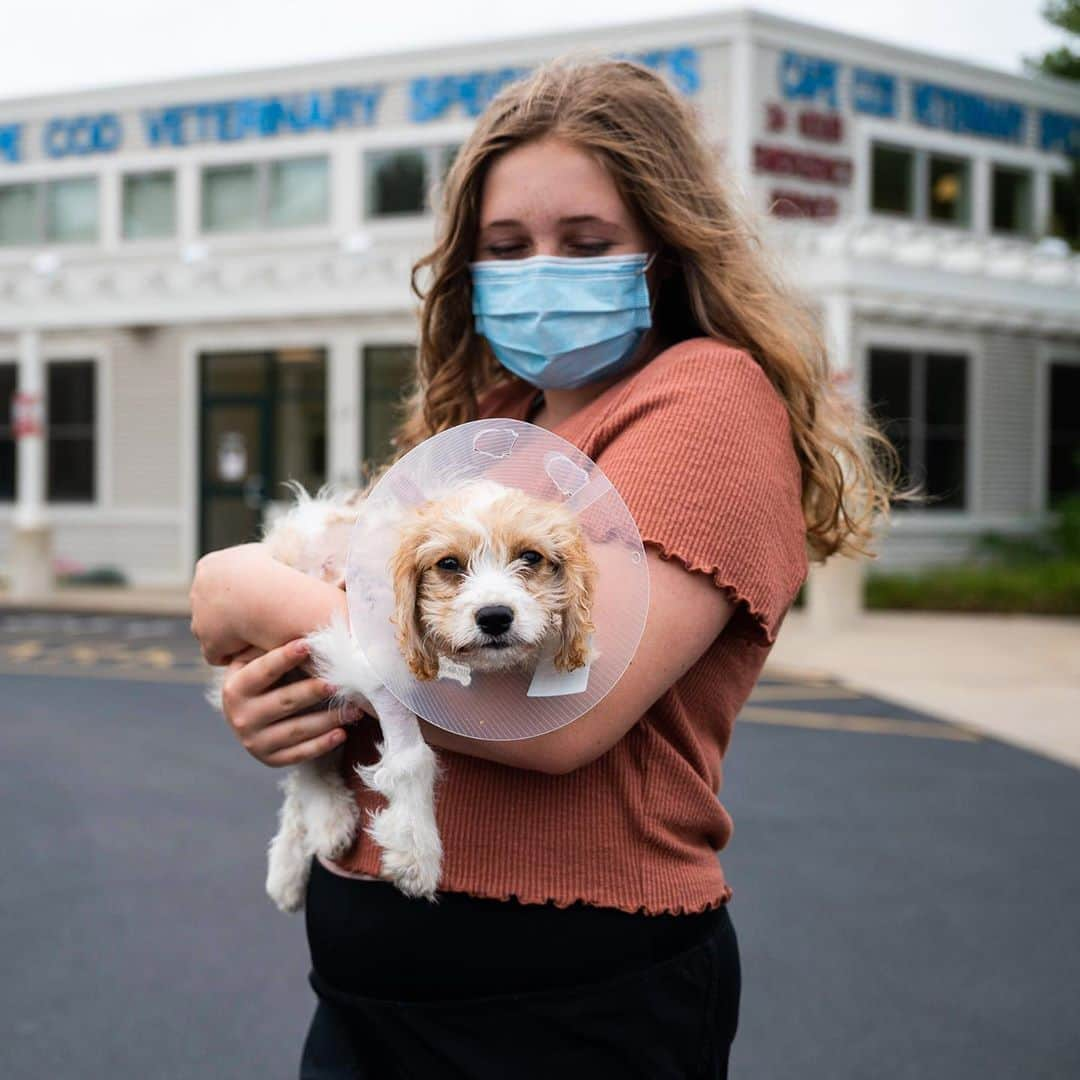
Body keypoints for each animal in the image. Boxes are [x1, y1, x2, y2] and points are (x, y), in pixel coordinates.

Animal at [210, 477, 600, 907]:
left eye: (530, 557)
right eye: (449, 564)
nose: (495, 616)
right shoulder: (374, 659)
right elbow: (412, 756)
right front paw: (416, 849)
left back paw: (292, 862)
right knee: (308, 763)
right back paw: (322, 823)